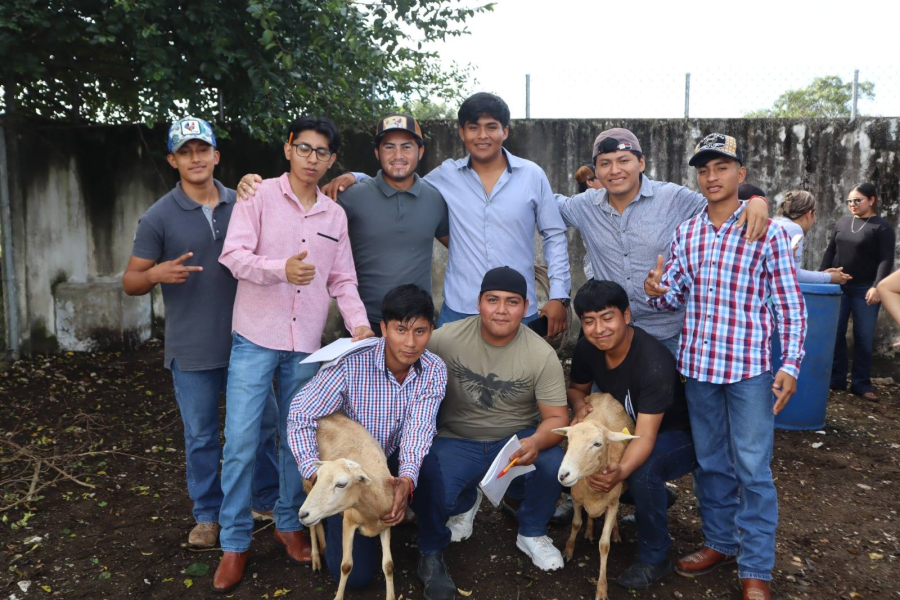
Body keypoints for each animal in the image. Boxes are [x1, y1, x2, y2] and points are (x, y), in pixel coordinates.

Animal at [298, 412, 394, 600]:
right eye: (318, 477)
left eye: (341, 484)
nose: (303, 514)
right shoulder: (348, 522)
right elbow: (346, 565)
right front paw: (338, 596)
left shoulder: (386, 524)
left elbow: (388, 566)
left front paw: (391, 595)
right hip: (306, 483)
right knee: (312, 525)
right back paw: (315, 556)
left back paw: (323, 545)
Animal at [552, 394, 636, 600]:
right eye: (568, 439)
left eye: (597, 444)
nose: (563, 475)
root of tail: (605, 395)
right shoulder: (576, 499)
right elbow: (576, 523)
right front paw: (568, 550)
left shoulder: (612, 503)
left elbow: (604, 545)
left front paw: (602, 589)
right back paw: (590, 529)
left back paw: (615, 532)